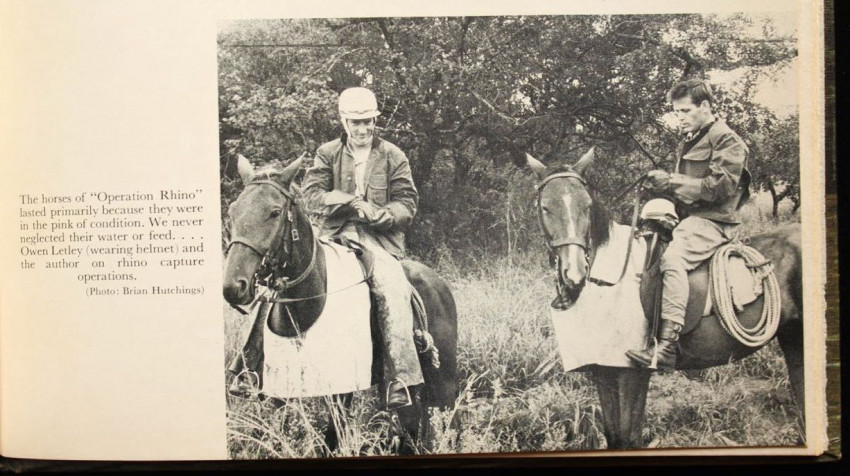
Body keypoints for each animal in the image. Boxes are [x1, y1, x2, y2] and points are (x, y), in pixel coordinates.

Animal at [222, 155, 458, 455]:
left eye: (274, 212)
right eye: (234, 211)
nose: (233, 286)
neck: (308, 306)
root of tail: (438, 284)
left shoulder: (341, 389)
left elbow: (333, 436)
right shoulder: (281, 390)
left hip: (444, 379)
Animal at [525, 147, 804, 449]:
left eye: (588, 206)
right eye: (545, 208)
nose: (574, 274)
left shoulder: (632, 374)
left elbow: (629, 437)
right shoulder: (604, 372)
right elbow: (614, 436)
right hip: (793, 338)